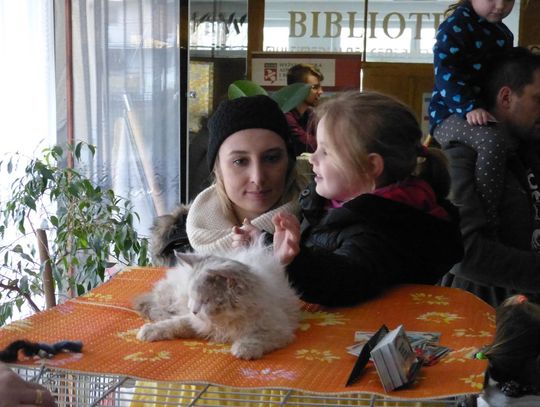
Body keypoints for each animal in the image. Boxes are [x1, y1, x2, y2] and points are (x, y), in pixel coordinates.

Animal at [134, 240, 301, 360]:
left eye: (205, 300)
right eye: (192, 297)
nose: (193, 311)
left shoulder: (279, 330)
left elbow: (257, 338)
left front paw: (243, 349)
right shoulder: (196, 322)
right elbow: (174, 324)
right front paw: (148, 331)